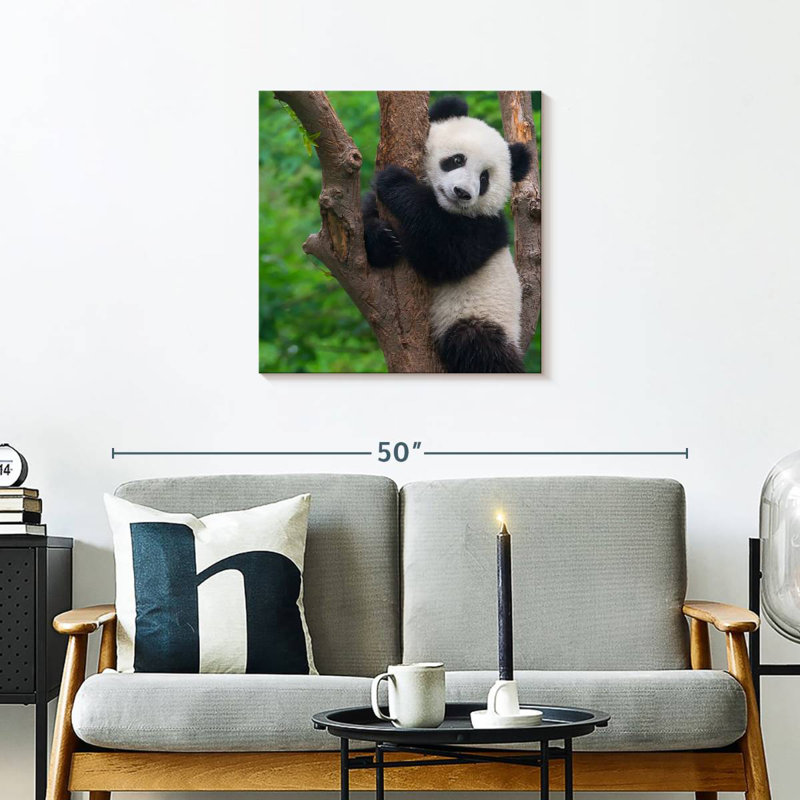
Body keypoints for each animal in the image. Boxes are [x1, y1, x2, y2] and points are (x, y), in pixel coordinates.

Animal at [362, 95, 532, 373]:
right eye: (457, 160)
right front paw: (382, 240)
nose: (462, 192)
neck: (446, 208)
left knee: (479, 347)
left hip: (481, 315)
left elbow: (446, 255)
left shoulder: (485, 228)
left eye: (484, 178)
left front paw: (396, 182)